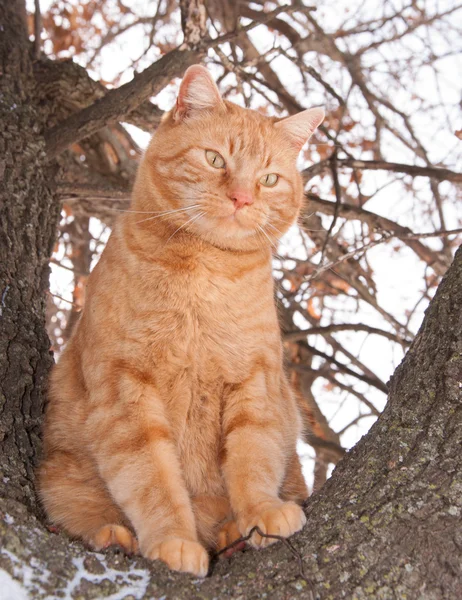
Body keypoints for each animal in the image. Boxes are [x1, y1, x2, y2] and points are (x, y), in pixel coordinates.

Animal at [37, 65, 324, 576]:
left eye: (269, 179)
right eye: (214, 159)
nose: (242, 198)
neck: (203, 274)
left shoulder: (255, 383)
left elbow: (252, 459)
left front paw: (260, 513)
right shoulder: (126, 390)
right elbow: (153, 478)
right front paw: (172, 540)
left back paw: (229, 535)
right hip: (62, 476)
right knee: (80, 510)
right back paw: (115, 536)